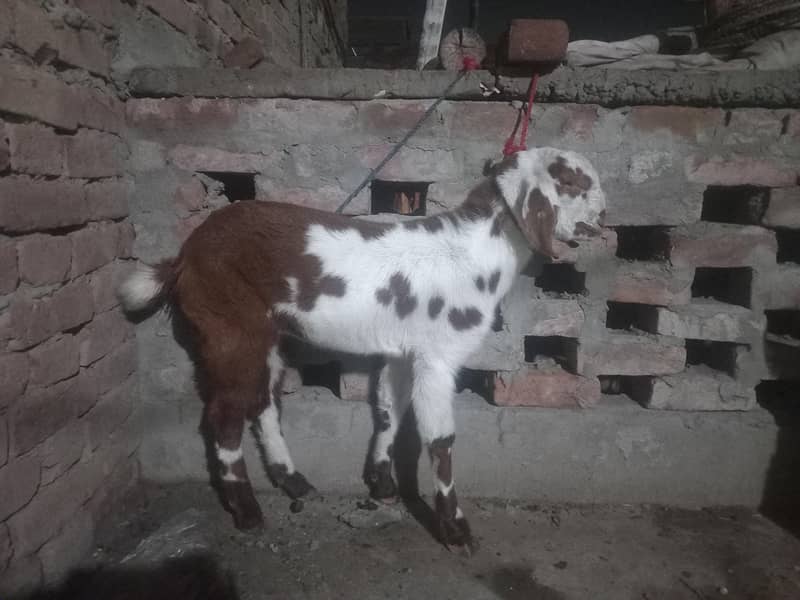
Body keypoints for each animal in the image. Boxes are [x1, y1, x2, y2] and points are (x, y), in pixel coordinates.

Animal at [119, 148, 606, 554]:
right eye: (574, 183)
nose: (604, 215)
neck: (471, 255)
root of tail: (184, 257)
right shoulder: (438, 356)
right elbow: (440, 440)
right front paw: (456, 531)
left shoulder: (403, 349)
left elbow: (389, 409)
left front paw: (381, 482)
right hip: (228, 328)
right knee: (223, 415)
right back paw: (248, 510)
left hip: (267, 333)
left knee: (263, 401)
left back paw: (292, 480)